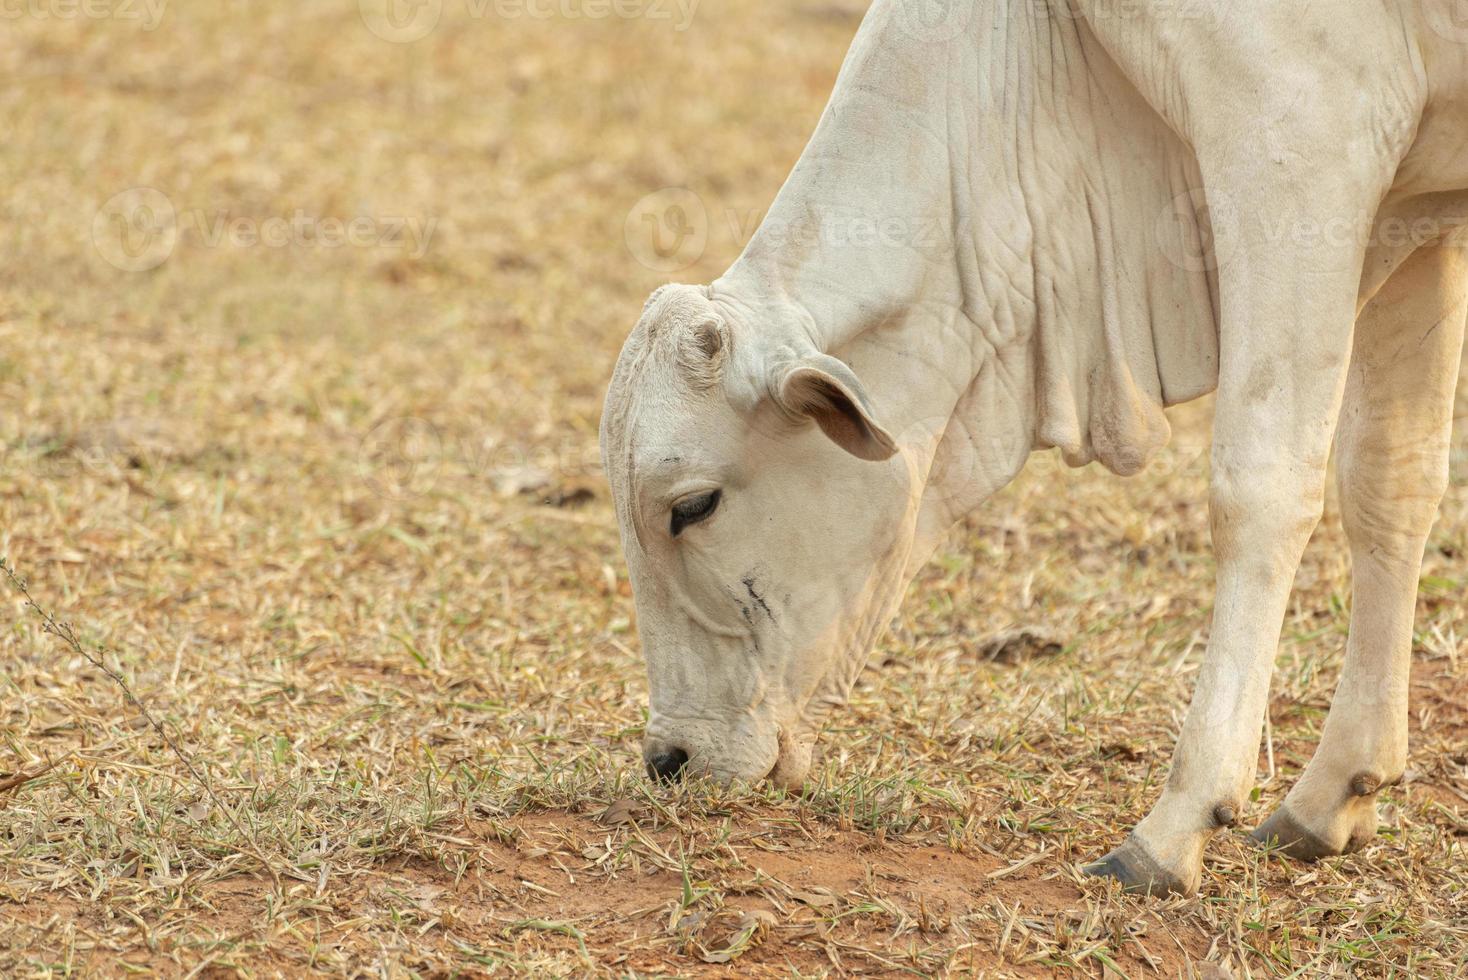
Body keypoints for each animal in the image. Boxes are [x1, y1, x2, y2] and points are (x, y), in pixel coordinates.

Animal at [598, 0, 1468, 897]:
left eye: (692, 506)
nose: (669, 758)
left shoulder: (1301, 146)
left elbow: (1260, 491)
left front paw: (1173, 826)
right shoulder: (1420, 208)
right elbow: (1390, 481)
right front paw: (1334, 794)